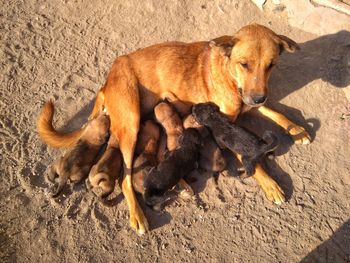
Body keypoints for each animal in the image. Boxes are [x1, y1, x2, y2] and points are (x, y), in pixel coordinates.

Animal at [37, 23, 312, 236]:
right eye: (244, 64)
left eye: (271, 65)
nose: (257, 98)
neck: (229, 73)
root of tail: (107, 81)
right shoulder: (228, 125)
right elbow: (251, 156)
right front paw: (270, 183)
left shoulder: (253, 101)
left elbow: (275, 111)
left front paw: (296, 128)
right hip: (131, 123)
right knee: (125, 179)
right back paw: (138, 215)